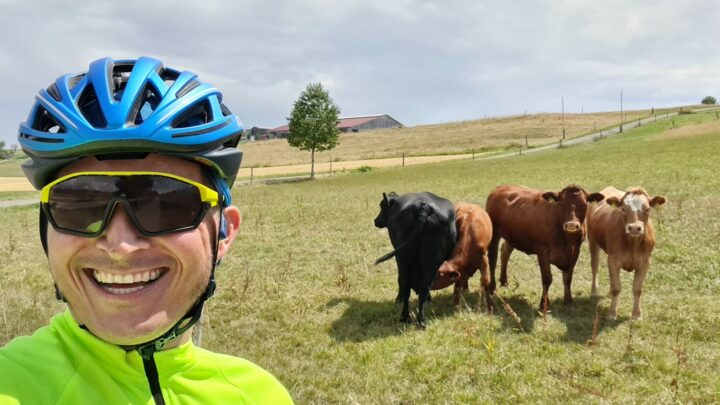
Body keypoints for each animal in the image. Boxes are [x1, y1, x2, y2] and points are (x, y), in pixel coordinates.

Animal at [374, 192, 457, 328]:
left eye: (382, 206)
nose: (376, 220)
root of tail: (424, 208)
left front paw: (398, 300)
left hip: (403, 259)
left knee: (405, 285)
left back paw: (404, 317)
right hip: (431, 262)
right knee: (424, 288)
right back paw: (421, 321)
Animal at [587, 186, 666, 320]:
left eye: (647, 209)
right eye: (623, 209)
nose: (634, 228)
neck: (633, 244)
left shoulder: (645, 262)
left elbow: (637, 289)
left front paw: (637, 315)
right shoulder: (613, 260)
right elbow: (616, 288)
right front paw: (612, 313)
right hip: (592, 240)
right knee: (595, 266)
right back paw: (594, 291)